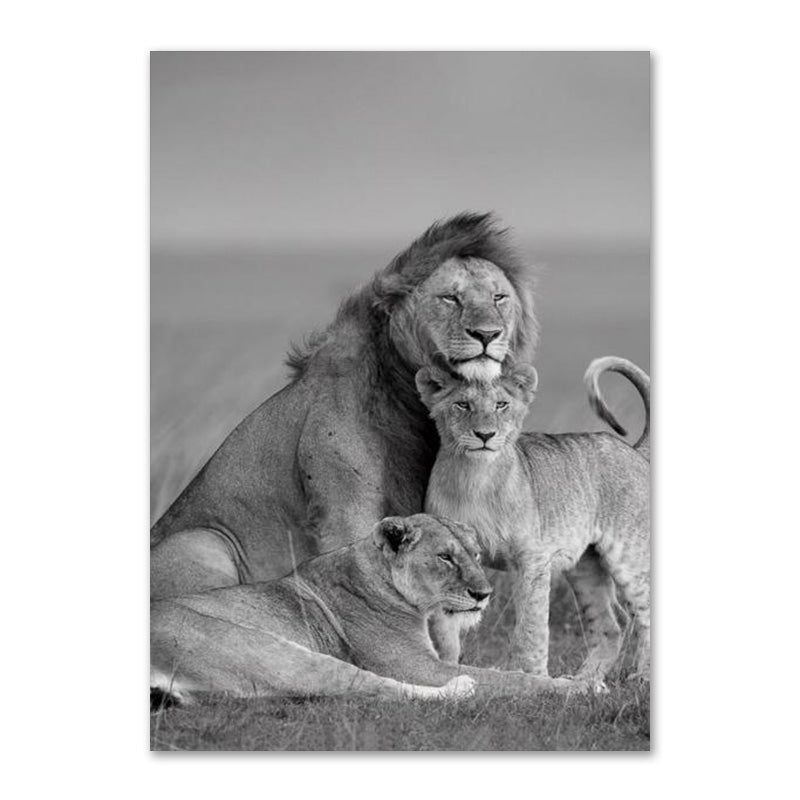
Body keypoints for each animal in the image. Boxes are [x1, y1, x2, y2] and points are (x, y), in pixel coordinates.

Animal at [151, 213, 538, 599]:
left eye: (499, 297)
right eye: (450, 298)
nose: (487, 334)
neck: (411, 399)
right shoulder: (347, 513)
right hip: (203, 541)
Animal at [151, 514, 580, 702]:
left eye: (475, 554)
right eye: (444, 557)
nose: (484, 593)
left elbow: (502, 671)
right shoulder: (415, 665)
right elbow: (508, 679)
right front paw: (574, 685)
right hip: (264, 649)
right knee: (377, 688)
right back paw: (460, 688)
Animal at [416, 359, 650, 685]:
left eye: (501, 404)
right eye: (462, 404)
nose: (485, 435)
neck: (475, 478)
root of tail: (632, 449)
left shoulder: (532, 559)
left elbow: (531, 628)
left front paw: (534, 680)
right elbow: (443, 629)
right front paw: (447, 671)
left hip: (629, 555)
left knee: (647, 613)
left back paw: (642, 677)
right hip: (585, 567)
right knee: (610, 625)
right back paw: (584, 682)